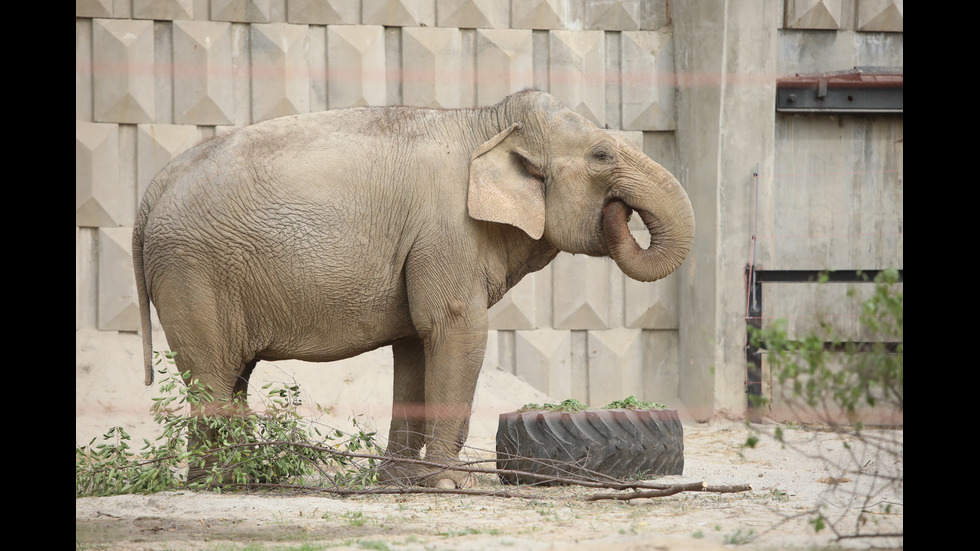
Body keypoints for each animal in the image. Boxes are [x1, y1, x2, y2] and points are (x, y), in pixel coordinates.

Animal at [134, 88, 696, 490]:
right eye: (601, 155)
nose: (619, 210)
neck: (488, 122)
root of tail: (152, 188)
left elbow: (413, 346)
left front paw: (402, 481)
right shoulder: (447, 231)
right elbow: (455, 329)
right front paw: (450, 484)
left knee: (235, 375)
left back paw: (247, 478)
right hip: (190, 272)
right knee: (212, 374)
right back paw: (222, 482)